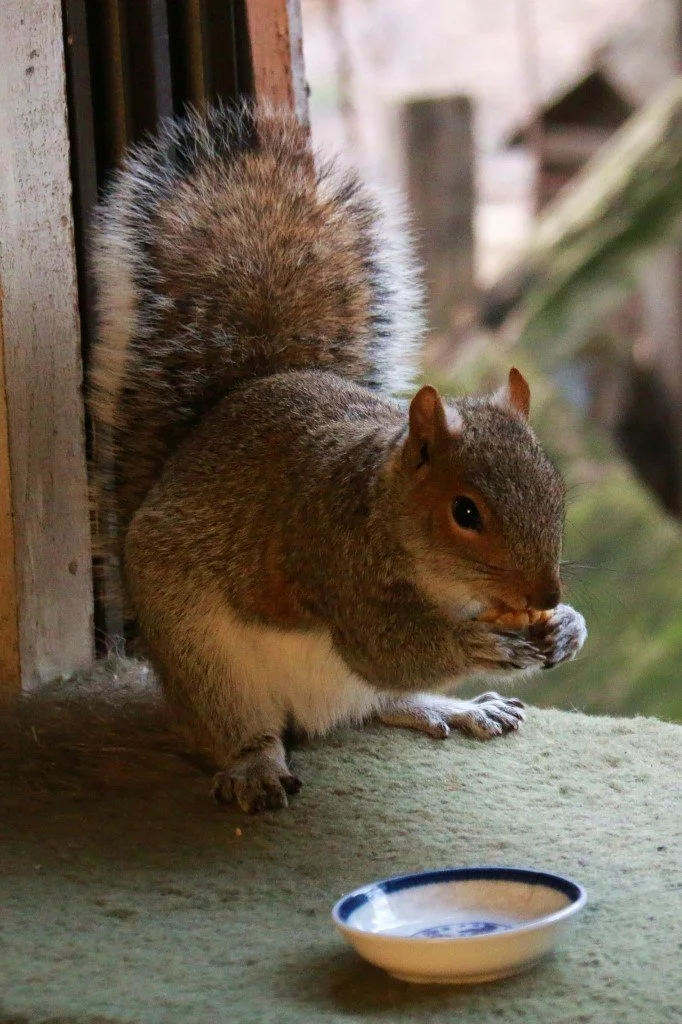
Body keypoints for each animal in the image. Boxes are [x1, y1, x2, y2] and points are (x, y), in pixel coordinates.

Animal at [89, 102, 587, 814]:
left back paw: (454, 708)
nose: (545, 593)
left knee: (379, 702)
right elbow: (385, 646)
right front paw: (472, 642)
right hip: (202, 659)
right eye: (465, 512)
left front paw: (568, 627)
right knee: (248, 724)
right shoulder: (330, 556)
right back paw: (256, 765)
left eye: (556, 491)